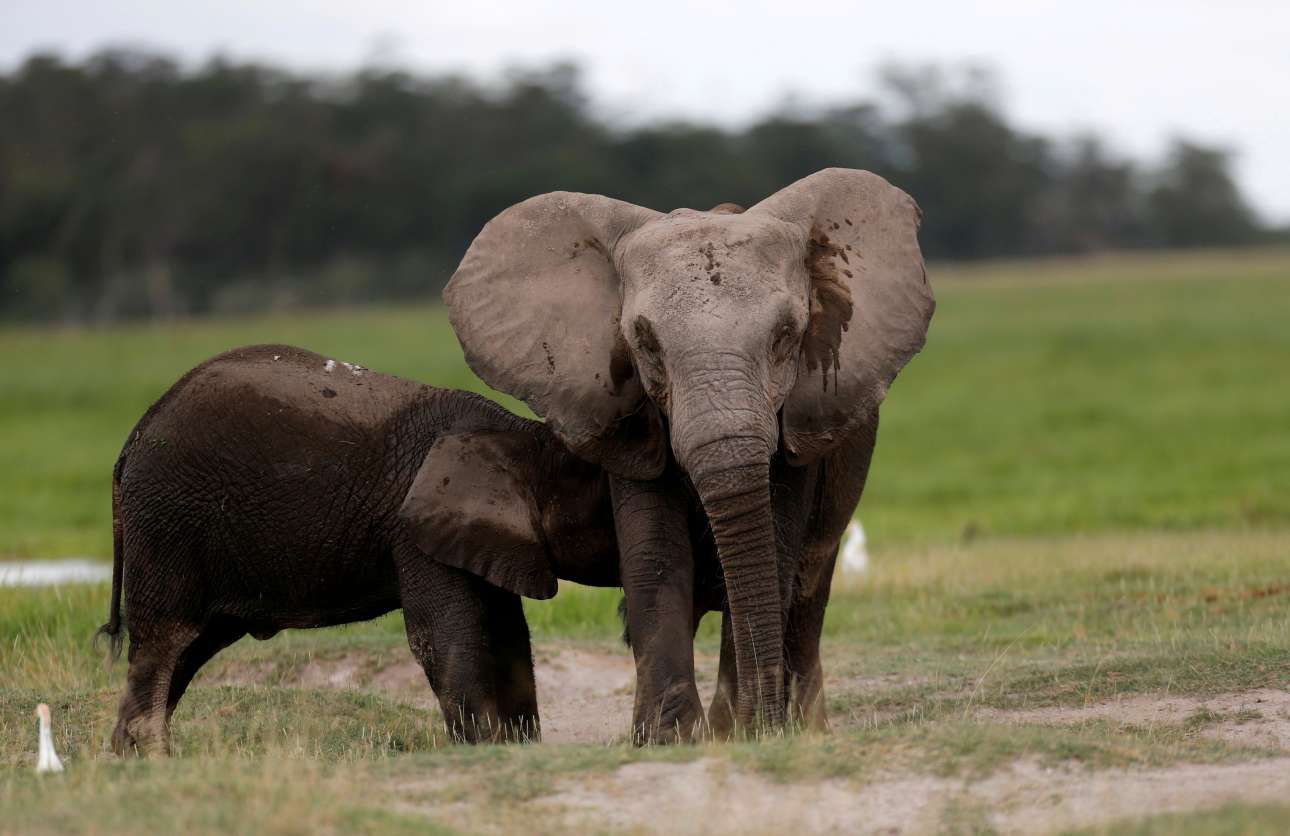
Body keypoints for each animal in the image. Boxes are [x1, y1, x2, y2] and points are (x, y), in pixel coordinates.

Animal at [96, 343, 619, 753]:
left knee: (192, 647)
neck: (523, 437)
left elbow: (508, 634)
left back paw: (131, 758)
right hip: (169, 524)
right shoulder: (416, 531)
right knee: (165, 642)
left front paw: (514, 749)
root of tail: (132, 441)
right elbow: (445, 636)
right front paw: (483, 750)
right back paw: (151, 758)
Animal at [448, 167, 933, 737]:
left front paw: (738, 733)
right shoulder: (628, 415)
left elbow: (775, 550)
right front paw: (671, 738)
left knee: (809, 588)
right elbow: (658, 555)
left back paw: (806, 728)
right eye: (644, 341)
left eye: (785, 336)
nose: (758, 722)